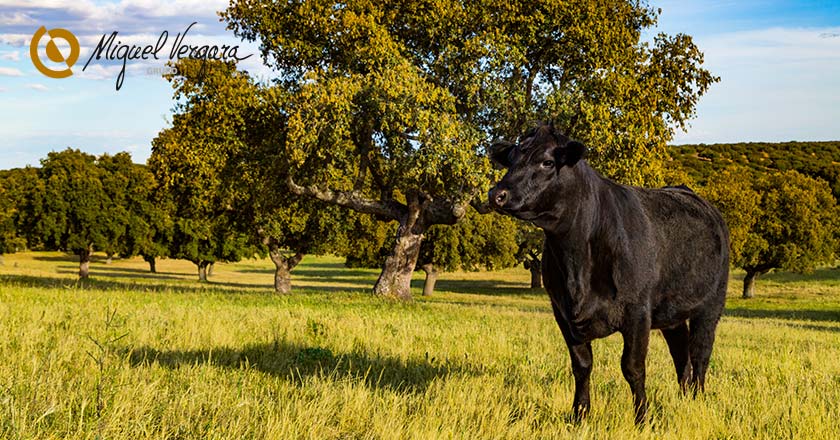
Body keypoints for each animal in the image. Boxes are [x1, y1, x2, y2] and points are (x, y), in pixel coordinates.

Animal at [488, 124, 732, 426]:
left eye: (547, 162)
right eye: (511, 158)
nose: (497, 194)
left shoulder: (637, 312)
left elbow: (633, 367)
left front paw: (642, 419)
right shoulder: (562, 312)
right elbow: (581, 365)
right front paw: (580, 415)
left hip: (711, 304)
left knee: (700, 353)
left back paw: (697, 399)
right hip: (671, 312)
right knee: (681, 353)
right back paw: (685, 397)